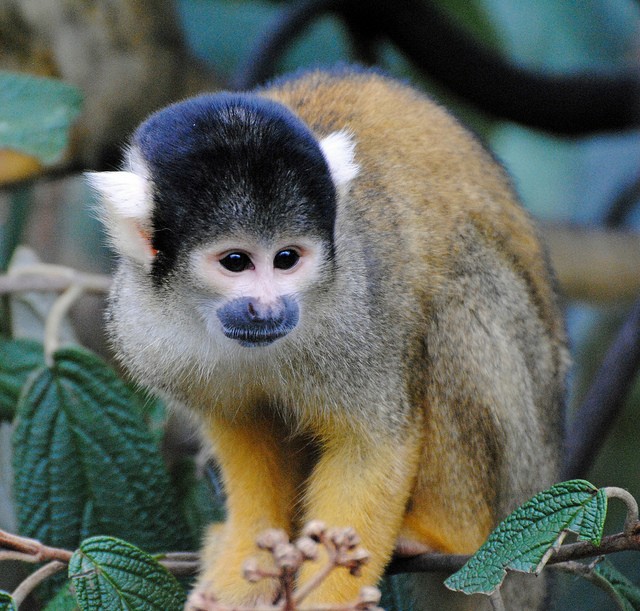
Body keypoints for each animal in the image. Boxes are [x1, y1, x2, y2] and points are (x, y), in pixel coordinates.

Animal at [87, 67, 567, 609]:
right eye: (235, 262)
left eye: (287, 259)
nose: (268, 308)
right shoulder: (145, 329)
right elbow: (245, 431)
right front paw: (245, 570)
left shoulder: (360, 307)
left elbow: (370, 446)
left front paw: (327, 594)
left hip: (525, 478)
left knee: (462, 296)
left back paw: (447, 534)